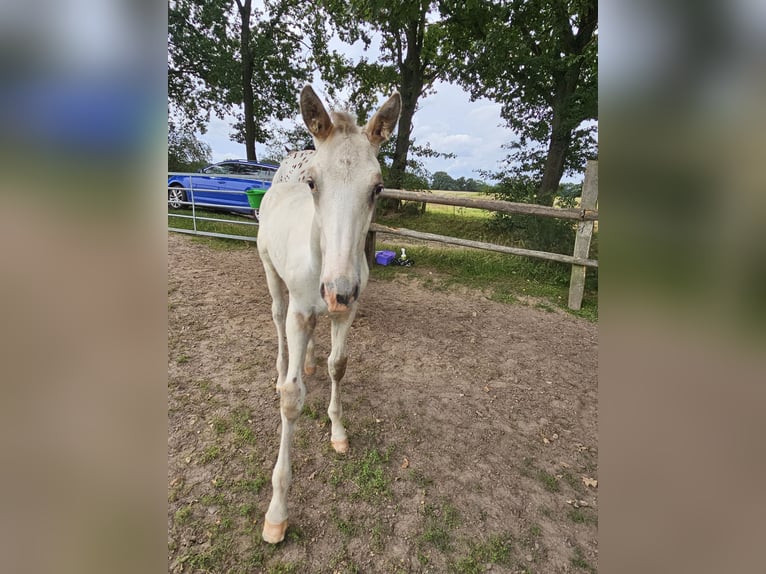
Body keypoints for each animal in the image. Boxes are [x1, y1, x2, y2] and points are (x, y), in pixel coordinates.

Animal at [256, 85, 402, 544]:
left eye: (378, 188)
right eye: (314, 183)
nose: (338, 289)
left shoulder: (347, 313)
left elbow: (339, 365)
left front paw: (338, 432)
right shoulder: (301, 312)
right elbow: (290, 399)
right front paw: (277, 514)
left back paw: (308, 362)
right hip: (271, 274)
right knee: (276, 316)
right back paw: (284, 365)